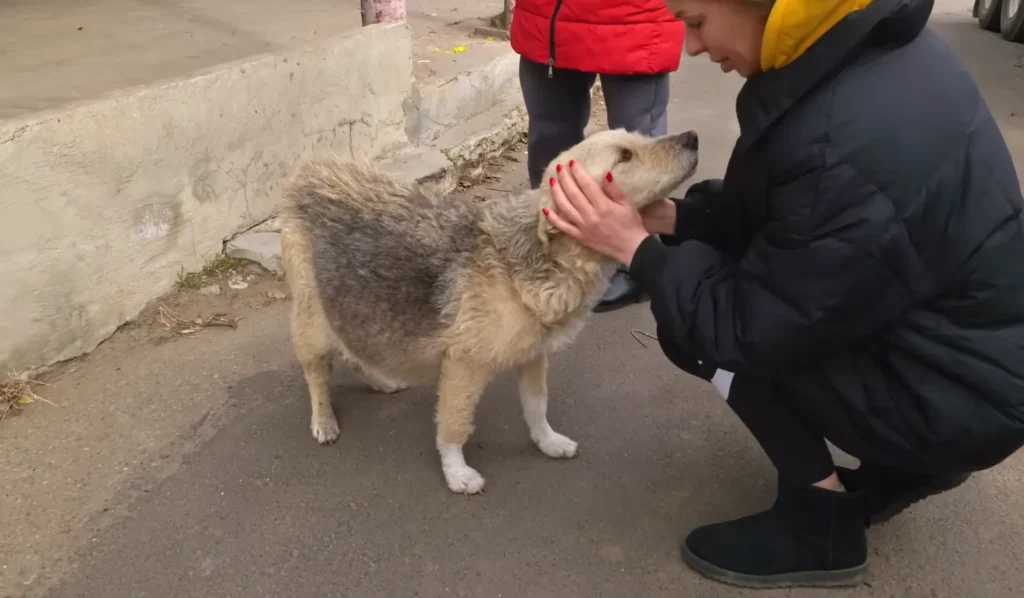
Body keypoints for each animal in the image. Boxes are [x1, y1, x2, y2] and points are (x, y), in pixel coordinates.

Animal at [276, 127, 700, 495]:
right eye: (624, 156)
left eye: (638, 138)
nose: (692, 138)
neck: (524, 266)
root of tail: (307, 172)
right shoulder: (463, 366)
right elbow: (453, 426)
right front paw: (456, 473)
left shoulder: (533, 356)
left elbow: (537, 407)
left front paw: (547, 441)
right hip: (312, 315)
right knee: (317, 372)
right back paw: (324, 420)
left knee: (354, 347)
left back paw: (380, 381)